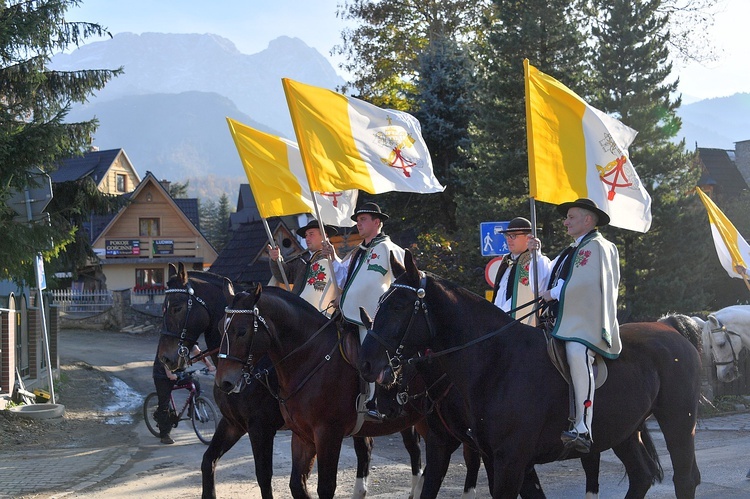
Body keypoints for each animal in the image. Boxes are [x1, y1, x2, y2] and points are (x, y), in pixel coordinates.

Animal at [358, 252, 704, 498]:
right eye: (380, 302)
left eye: (399, 305)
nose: (367, 364)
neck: (494, 362)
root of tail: (669, 327)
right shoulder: (490, 456)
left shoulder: (509, 460)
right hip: (624, 431)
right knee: (642, 476)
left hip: (678, 421)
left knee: (685, 478)